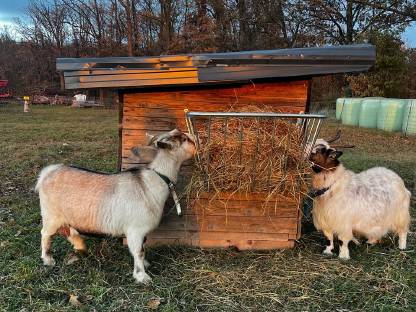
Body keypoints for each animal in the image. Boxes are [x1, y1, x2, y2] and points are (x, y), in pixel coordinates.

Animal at [36, 129, 197, 282]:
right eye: (184, 139)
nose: (196, 137)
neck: (150, 182)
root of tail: (48, 172)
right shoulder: (135, 230)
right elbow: (139, 252)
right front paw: (142, 276)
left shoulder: (142, 232)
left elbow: (143, 248)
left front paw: (146, 265)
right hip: (51, 216)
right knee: (45, 234)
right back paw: (48, 260)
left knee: (69, 231)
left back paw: (80, 248)